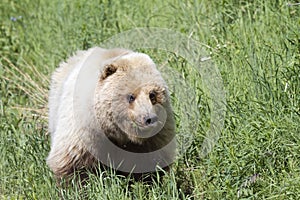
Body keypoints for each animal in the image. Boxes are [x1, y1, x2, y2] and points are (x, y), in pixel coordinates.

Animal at [46, 47, 176, 181]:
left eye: (152, 95)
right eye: (131, 96)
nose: (149, 119)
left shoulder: (154, 138)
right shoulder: (83, 131)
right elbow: (72, 164)